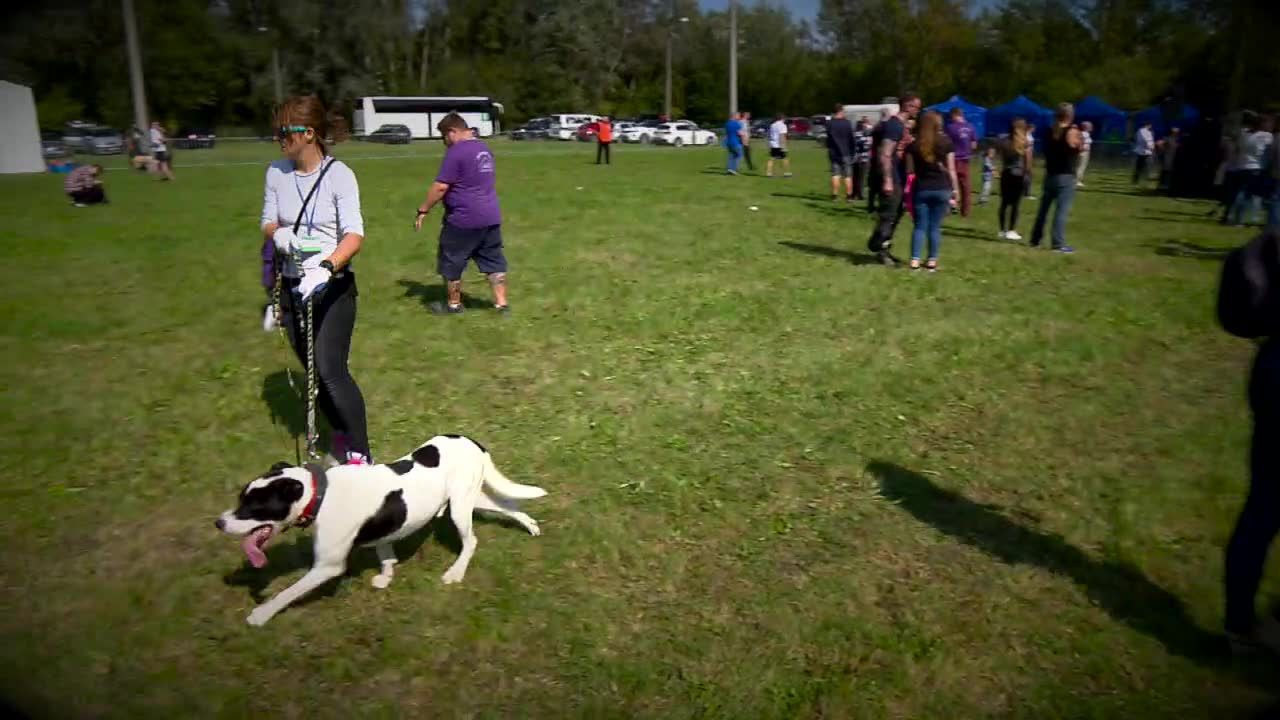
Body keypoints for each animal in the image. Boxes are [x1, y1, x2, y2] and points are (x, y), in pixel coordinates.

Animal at [216, 430, 545, 622]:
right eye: (241, 498)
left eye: (254, 507)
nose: (219, 523)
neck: (320, 494)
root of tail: (471, 441)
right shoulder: (386, 530)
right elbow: (386, 554)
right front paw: (386, 577)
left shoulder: (327, 567)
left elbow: (288, 592)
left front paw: (261, 614)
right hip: (466, 497)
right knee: (508, 503)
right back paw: (530, 526)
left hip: (460, 507)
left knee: (472, 541)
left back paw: (455, 573)